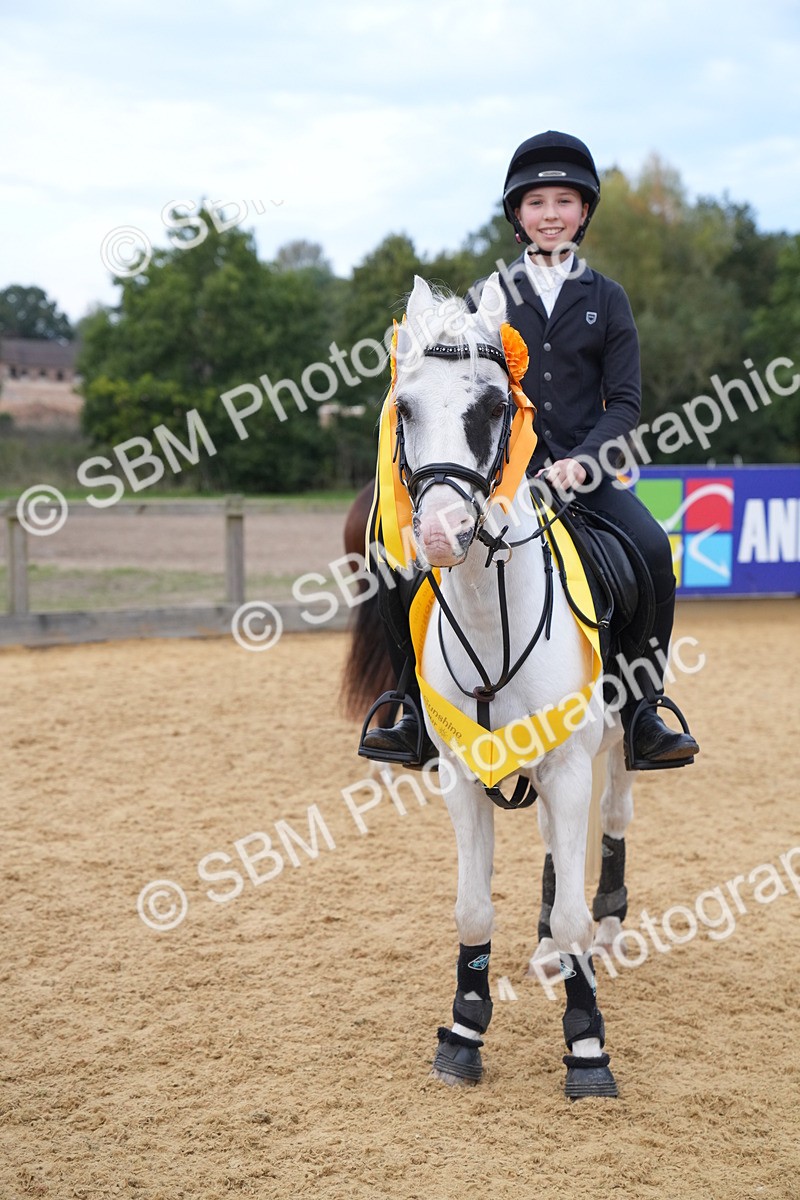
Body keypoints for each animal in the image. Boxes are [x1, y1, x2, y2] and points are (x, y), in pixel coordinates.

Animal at [341, 273, 637, 1098]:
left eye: (493, 407)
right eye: (406, 407)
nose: (442, 532)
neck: (489, 615)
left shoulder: (569, 761)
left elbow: (571, 910)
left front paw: (587, 1046)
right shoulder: (462, 772)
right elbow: (473, 909)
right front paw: (464, 1032)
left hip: (619, 740)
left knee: (612, 819)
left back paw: (607, 924)